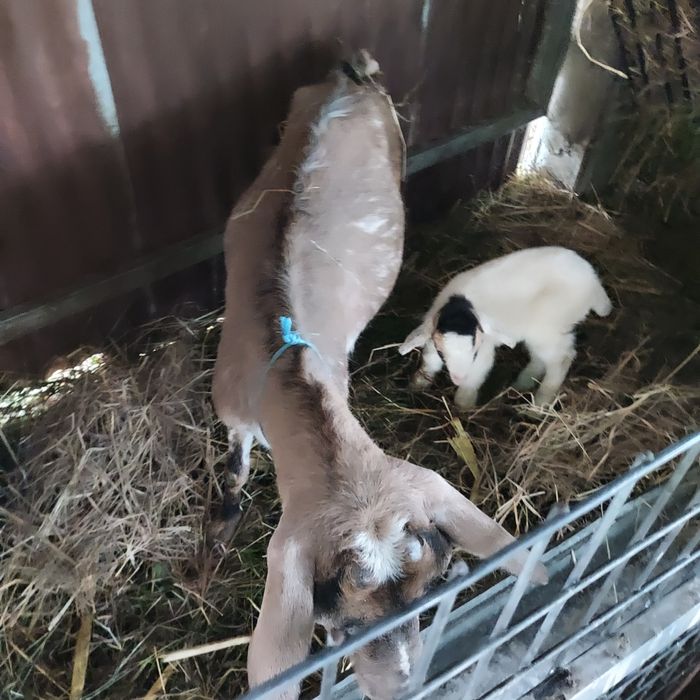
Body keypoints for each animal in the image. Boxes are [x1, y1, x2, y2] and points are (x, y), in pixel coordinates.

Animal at [211, 52, 548, 700]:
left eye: (428, 599)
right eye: (336, 624)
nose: (401, 687)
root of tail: (351, 76)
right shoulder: (230, 408)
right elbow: (235, 464)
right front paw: (226, 509)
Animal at [399, 246, 613, 409]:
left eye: (474, 350)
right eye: (442, 350)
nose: (458, 378)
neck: (460, 305)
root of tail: (594, 283)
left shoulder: (484, 347)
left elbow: (475, 377)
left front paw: (463, 407)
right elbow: (430, 361)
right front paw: (417, 384)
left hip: (549, 327)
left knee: (562, 358)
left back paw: (538, 405)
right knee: (541, 358)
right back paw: (522, 384)